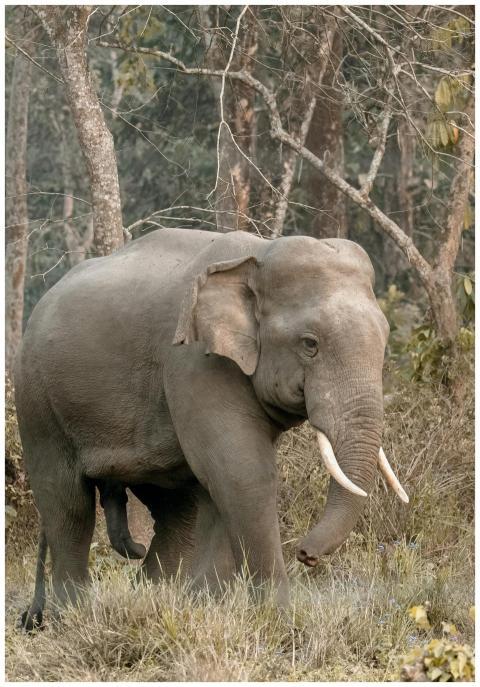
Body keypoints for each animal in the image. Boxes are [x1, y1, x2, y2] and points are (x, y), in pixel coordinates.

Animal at [15, 227, 408, 630]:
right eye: (309, 343)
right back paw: (70, 618)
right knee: (68, 504)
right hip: (37, 400)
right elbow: (243, 474)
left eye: (384, 339)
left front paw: (211, 608)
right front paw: (278, 621)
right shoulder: (195, 362)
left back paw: (153, 600)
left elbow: (223, 481)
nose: (305, 554)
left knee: (180, 510)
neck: (258, 253)